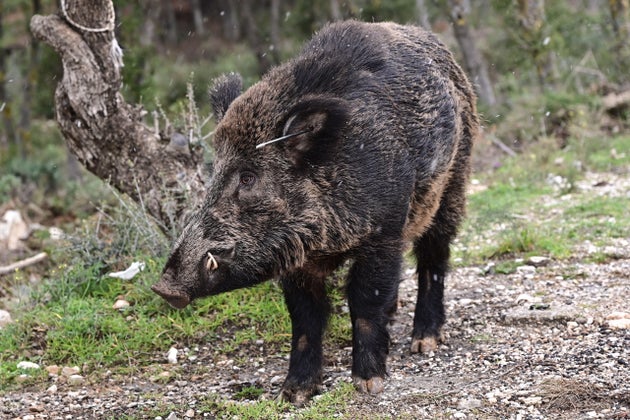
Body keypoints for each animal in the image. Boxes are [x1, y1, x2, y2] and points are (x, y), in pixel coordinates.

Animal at [152, 20, 479, 404]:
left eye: (248, 177)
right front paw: (294, 394)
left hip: (454, 180)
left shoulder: (383, 231)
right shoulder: (295, 259)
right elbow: (305, 317)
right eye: (213, 172)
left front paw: (369, 384)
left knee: (434, 256)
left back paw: (424, 342)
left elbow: (365, 301)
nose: (164, 287)